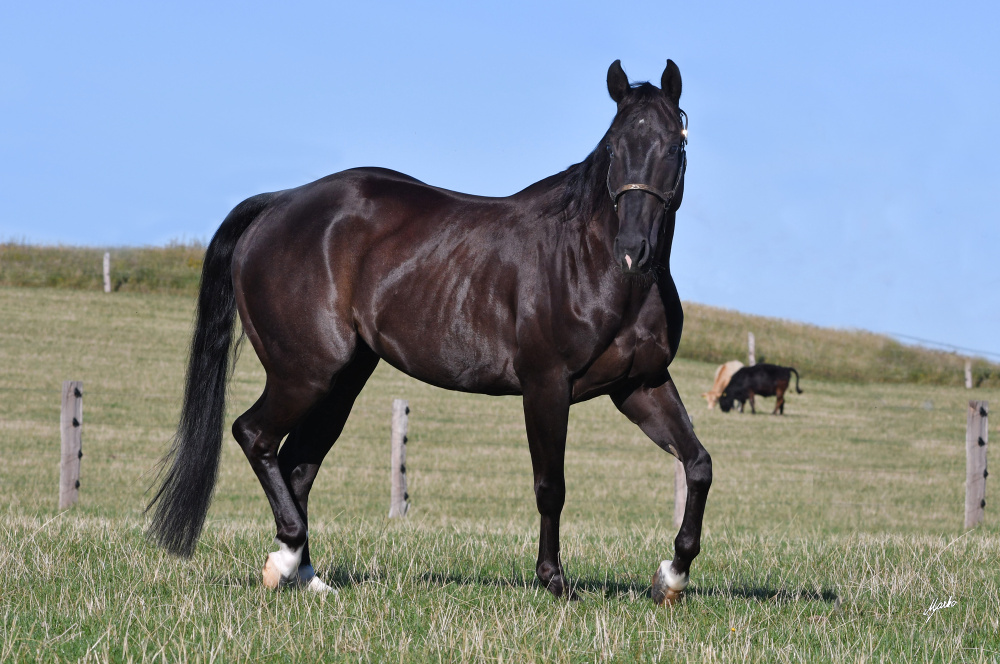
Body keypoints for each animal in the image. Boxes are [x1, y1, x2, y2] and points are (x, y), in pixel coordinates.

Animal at [146, 59, 712, 604]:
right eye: (614, 145)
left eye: (673, 145)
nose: (632, 249)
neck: (592, 264)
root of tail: (280, 203)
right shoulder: (547, 386)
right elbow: (551, 486)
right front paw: (554, 581)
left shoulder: (639, 385)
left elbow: (698, 464)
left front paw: (672, 577)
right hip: (304, 374)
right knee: (255, 436)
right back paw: (286, 557)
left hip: (341, 381)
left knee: (298, 466)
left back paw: (304, 574)